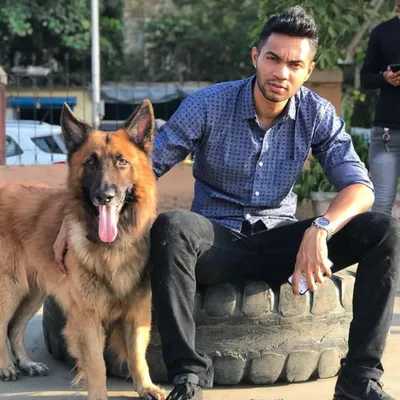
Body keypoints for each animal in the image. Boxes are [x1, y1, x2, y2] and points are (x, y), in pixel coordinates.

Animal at [0, 100, 165, 400]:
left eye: (122, 162)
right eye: (91, 162)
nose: (104, 196)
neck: (112, 248)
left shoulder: (137, 311)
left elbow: (137, 356)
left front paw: (145, 387)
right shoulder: (87, 318)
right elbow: (97, 366)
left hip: (34, 293)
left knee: (15, 327)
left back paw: (27, 362)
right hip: (11, 288)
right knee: (1, 324)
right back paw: (7, 366)